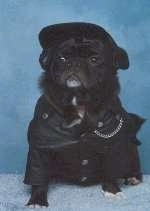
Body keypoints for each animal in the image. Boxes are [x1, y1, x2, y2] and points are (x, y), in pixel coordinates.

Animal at [24, 22, 145, 207]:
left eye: (94, 60)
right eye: (61, 58)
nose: (74, 63)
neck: (79, 101)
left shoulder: (113, 147)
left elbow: (111, 170)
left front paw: (112, 190)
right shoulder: (40, 148)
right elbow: (38, 177)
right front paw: (37, 200)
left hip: (130, 149)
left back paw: (133, 177)